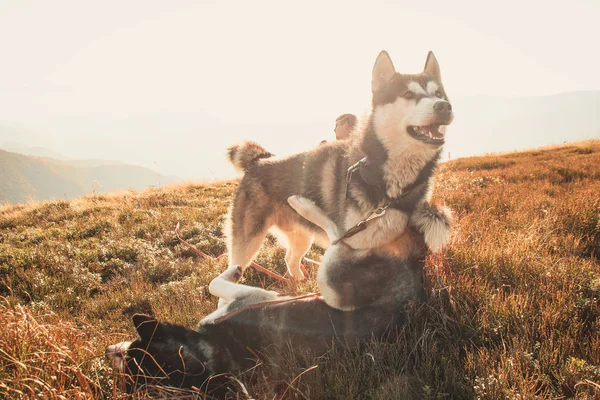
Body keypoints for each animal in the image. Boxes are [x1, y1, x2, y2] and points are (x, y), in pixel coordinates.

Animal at [225, 50, 454, 282]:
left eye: (439, 94)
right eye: (408, 94)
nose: (443, 106)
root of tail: (259, 160)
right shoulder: (348, 242)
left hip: (300, 237)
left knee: (290, 259)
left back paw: (299, 282)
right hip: (247, 244)